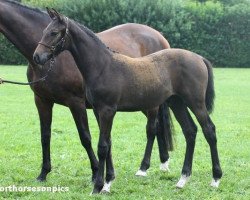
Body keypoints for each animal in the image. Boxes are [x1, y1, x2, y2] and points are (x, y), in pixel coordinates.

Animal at [0, 0, 172, 181]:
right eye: (44, 32)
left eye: (54, 33)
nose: (38, 57)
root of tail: (160, 37)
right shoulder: (42, 100)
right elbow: (45, 135)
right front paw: (44, 172)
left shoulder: (76, 102)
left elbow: (85, 137)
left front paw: (96, 171)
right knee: (158, 127)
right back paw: (163, 162)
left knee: (152, 128)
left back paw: (144, 167)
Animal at [33, 9, 223, 194]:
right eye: (43, 31)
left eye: (54, 32)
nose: (37, 57)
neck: (103, 66)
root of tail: (199, 58)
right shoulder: (97, 110)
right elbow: (108, 143)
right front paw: (108, 182)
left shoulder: (107, 110)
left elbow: (102, 146)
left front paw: (98, 186)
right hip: (177, 103)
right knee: (190, 131)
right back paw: (182, 179)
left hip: (195, 103)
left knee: (209, 130)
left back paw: (215, 179)